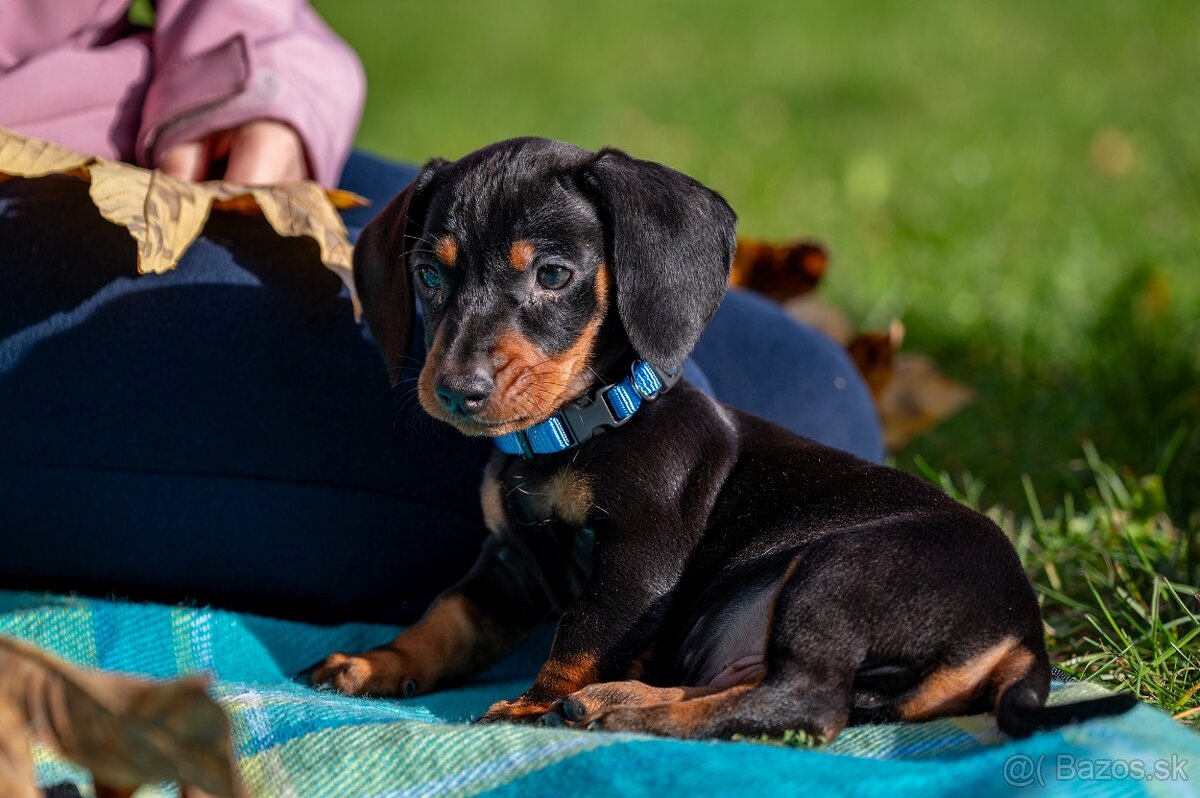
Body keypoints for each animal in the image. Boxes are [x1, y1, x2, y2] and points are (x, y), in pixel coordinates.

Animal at [312, 136, 1132, 739]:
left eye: (552, 274)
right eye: (428, 274)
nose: (458, 390)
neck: (574, 433)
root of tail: (1025, 632)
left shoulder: (641, 557)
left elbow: (582, 630)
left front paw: (533, 703)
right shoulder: (509, 564)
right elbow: (447, 615)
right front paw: (376, 663)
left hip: (837, 571)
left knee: (807, 703)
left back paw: (615, 708)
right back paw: (626, 701)